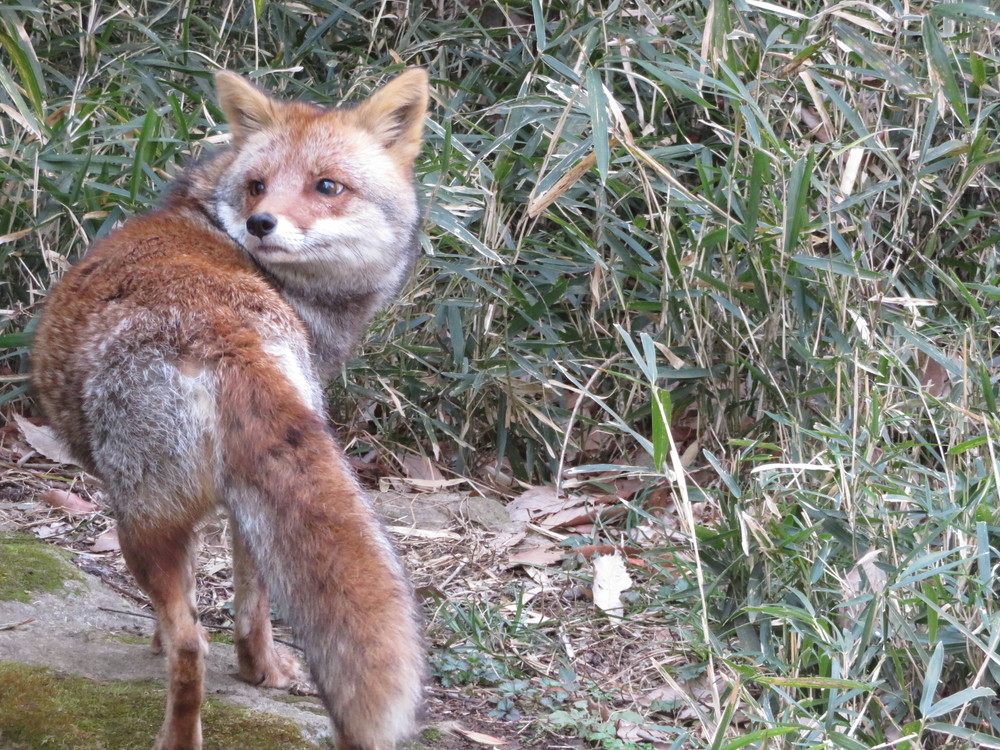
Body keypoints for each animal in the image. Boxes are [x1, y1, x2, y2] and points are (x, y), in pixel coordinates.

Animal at [30, 66, 430, 750]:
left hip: (139, 521)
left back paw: (177, 733)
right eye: (257, 185)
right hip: (234, 503)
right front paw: (261, 672)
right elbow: (249, 604)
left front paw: (160, 644)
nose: (261, 223)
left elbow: (183, 615)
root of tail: (219, 327)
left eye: (327, 186)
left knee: (192, 644)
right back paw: (257, 670)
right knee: (245, 608)